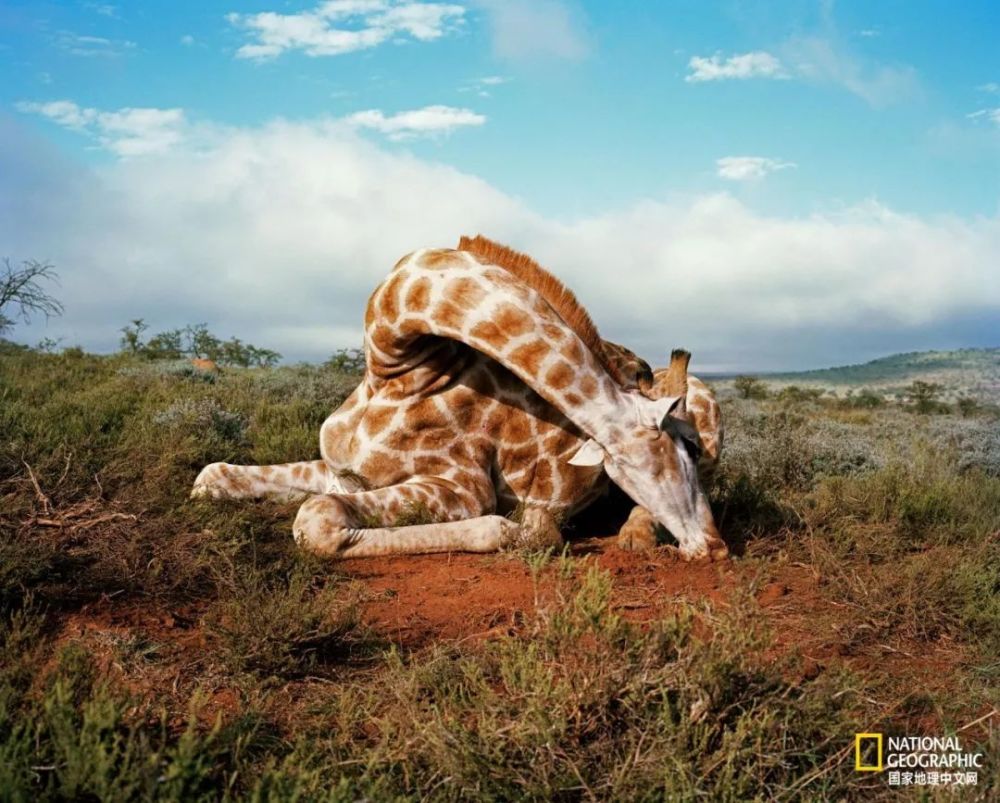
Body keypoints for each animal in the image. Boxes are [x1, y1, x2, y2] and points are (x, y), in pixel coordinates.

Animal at [193, 242, 728, 564]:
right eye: (681, 452)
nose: (716, 547)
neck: (394, 369)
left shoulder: (461, 488)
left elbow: (317, 520)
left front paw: (525, 531)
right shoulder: (341, 471)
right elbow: (212, 477)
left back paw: (637, 538)